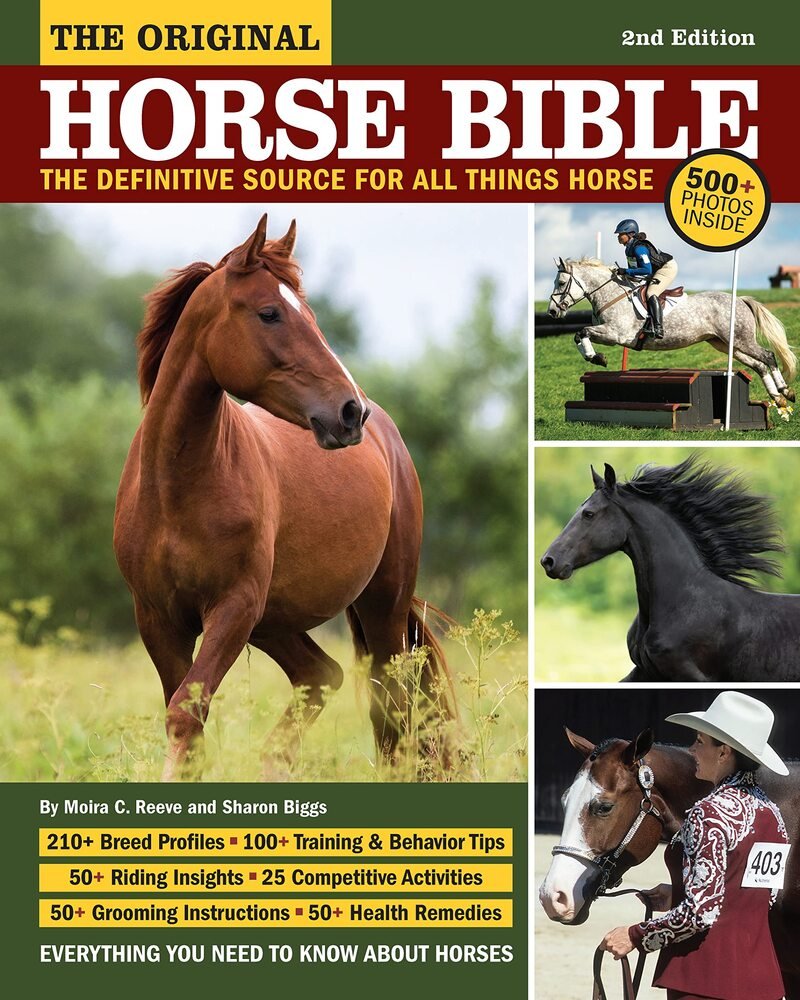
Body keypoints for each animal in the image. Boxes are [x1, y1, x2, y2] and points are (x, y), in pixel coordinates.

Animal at [113, 215, 454, 781]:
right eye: (269, 313)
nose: (349, 412)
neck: (176, 489)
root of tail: (388, 439)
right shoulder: (158, 619)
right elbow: (186, 718)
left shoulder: (232, 608)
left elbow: (187, 711)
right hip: (275, 621)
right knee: (322, 675)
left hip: (378, 604)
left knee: (391, 705)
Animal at [548, 257, 797, 409]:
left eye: (561, 283)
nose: (552, 311)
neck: (611, 294)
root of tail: (741, 300)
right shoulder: (611, 336)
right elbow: (580, 334)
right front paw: (597, 357)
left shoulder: (616, 334)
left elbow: (582, 331)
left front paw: (596, 358)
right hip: (727, 344)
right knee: (759, 365)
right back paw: (777, 398)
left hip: (741, 340)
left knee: (767, 356)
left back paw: (785, 391)